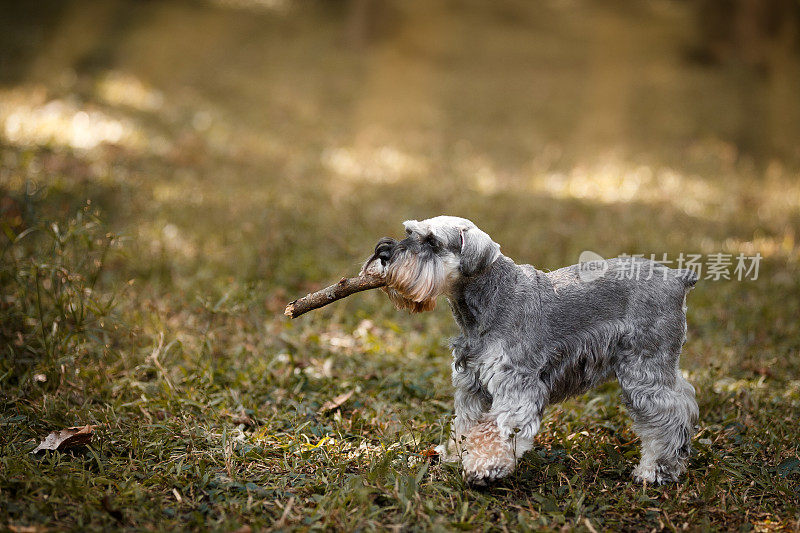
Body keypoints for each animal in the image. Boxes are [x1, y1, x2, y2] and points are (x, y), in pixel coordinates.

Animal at [360, 215, 696, 482]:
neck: (490, 298)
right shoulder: (472, 384)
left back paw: (655, 471)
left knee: (670, 416)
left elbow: (496, 428)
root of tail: (678, 279)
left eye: (432, 241)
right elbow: (467, 423)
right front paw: (456, 453)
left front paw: (485, 466)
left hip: (643, 369)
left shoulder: (516, 385)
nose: (383, 252)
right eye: (408, 231)